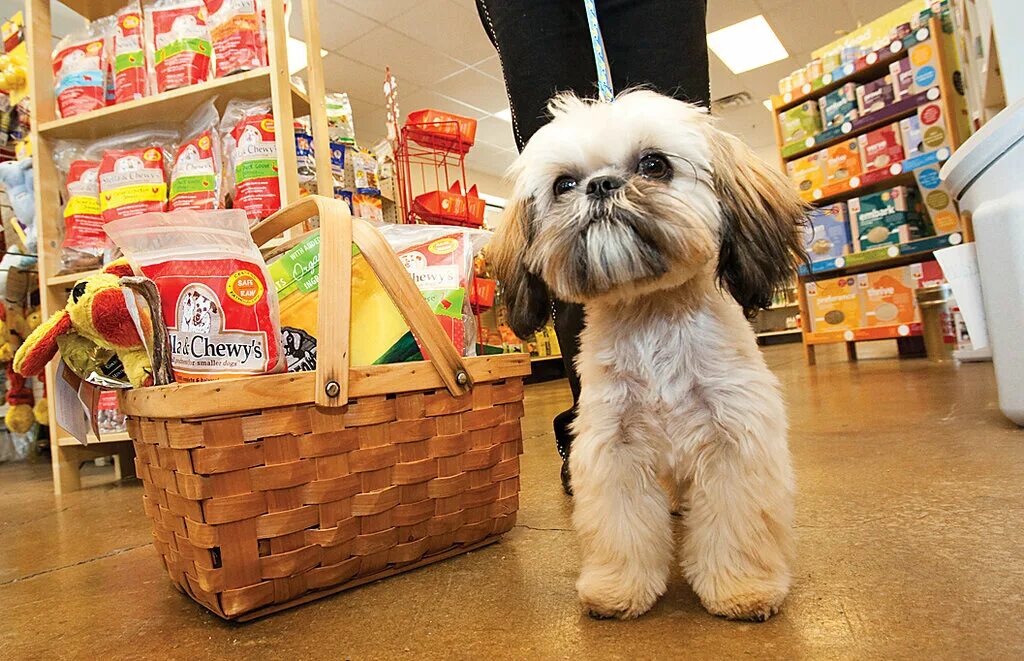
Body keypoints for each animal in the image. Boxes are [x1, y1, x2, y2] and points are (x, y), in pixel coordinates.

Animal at [487, 90, 806, 626]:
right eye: (564, 184)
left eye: (654, 165)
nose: (600, 185)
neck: (652, 314)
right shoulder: (613, 446)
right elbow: (622, 528)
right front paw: (618, 588)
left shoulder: (734, 441)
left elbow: (737, 526)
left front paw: (743, 587)